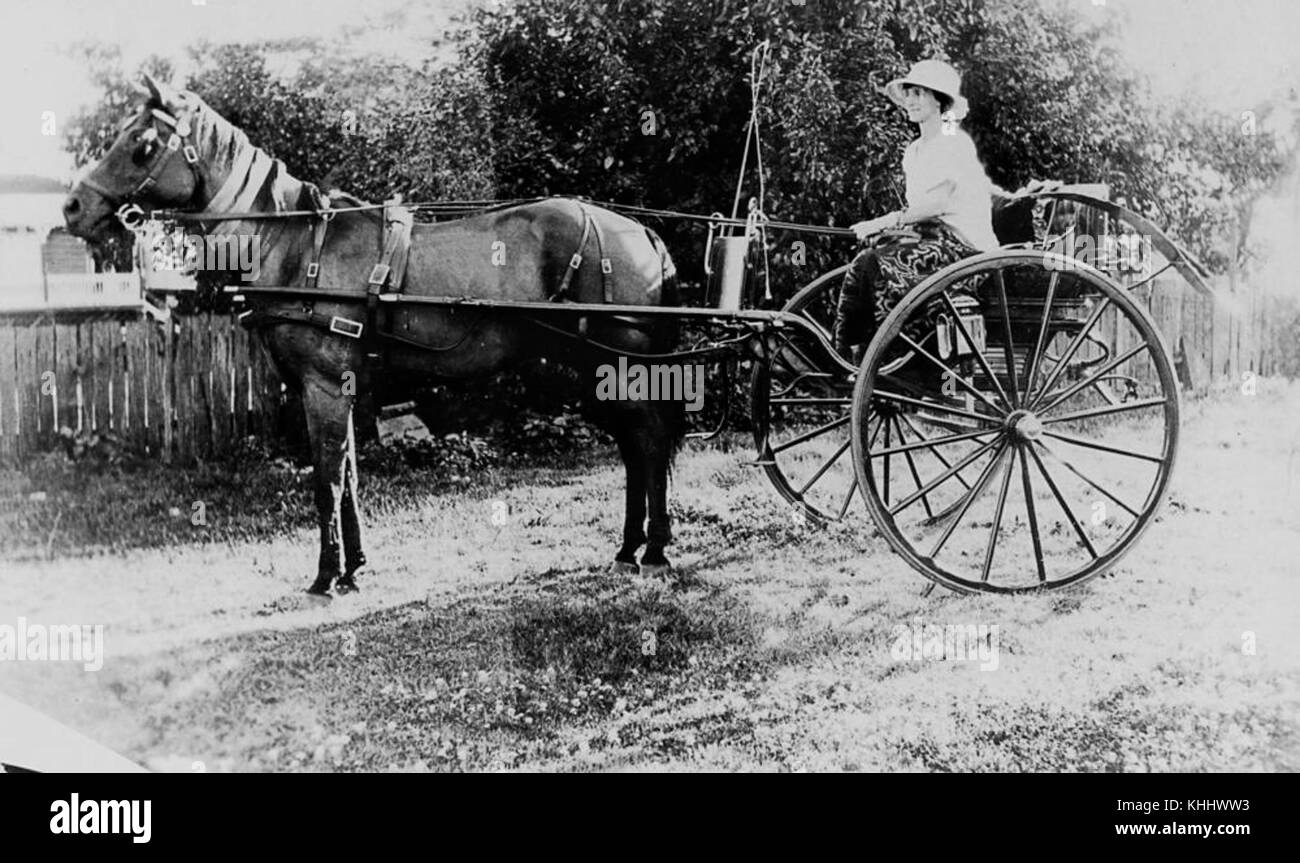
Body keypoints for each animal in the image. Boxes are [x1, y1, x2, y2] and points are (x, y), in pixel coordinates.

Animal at [64, 75, 685, 596]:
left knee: (649, 440)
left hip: (614, 367)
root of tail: (639, 230)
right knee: (634, 447)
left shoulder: (321, 386)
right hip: (590, 374)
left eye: (143, 144)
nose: (73, 207)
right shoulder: (340, 387)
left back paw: (653, 550)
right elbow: (350, 478)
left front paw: (324, 578)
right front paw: (353, 569)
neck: (295, 246)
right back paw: (629, 548)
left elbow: (327, 482)